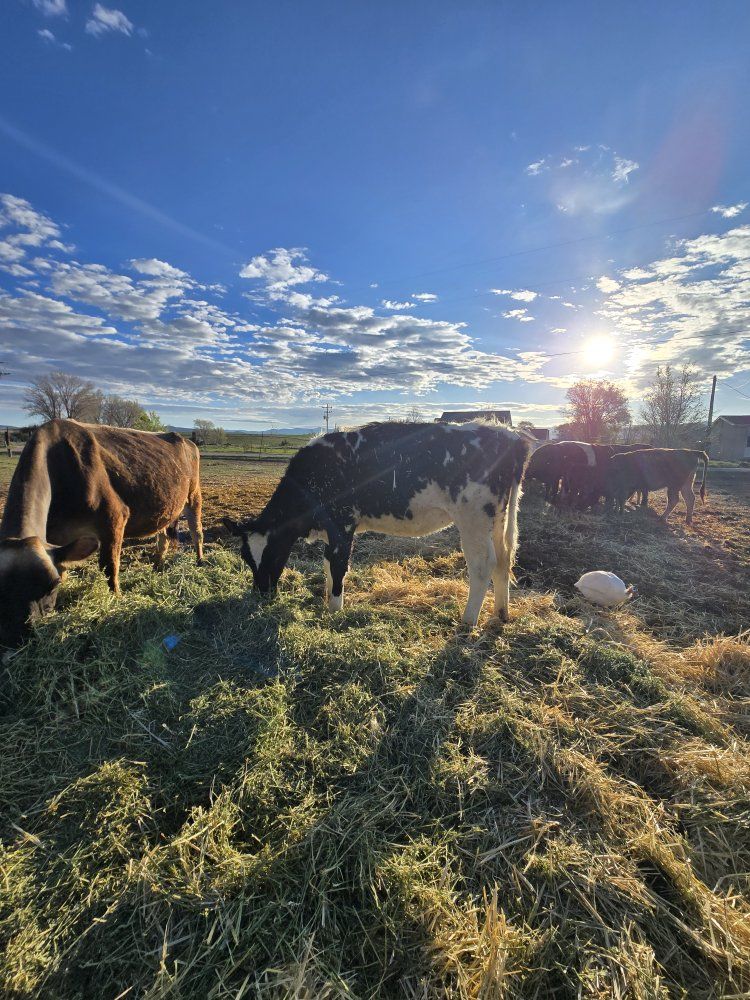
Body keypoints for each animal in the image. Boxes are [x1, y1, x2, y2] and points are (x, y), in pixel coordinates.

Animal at [0, 419, 203, 651]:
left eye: (52, 585)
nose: (18, 639)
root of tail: (186, 440)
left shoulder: (114, 517)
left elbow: (109, 567)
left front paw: (116, 598)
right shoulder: (56, 540)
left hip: (193, 494)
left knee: (196, 531)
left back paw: (200, 561)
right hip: (165, 506)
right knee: (163, 540)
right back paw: (157, 567)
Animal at [224, 421, 530, 627]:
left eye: (274, 554)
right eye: (245, 557)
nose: (262, 593)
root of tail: (508, 435)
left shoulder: (342, 524)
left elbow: (338, 566)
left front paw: (335, 609)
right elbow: (327, 564)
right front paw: (326, 598)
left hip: (473, 518)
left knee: (483, 565)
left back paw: (467, 621)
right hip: (499, 518)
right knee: (504, 559)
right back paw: (501, 614)